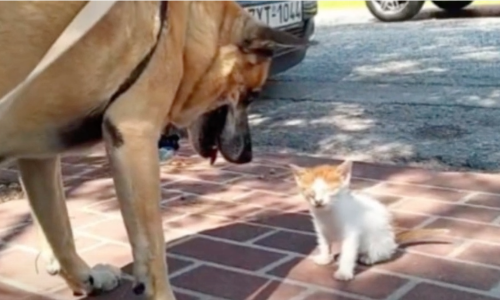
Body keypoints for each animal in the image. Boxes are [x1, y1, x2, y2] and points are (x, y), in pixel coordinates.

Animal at [0, 0, 308, 300]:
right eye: (253, 95)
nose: (248, 156)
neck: (182, 26)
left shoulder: (38, 155)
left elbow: (58, 229)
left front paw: (87, 279)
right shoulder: (135, 136)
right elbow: (152, 247)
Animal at [290, 162, 450, 282]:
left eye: (329, 191)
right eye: (311, 193)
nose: (318, 201)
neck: (329, 213)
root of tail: (394, 236)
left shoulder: (352, 233)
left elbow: (348, 252)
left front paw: (344, 272)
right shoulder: (321, 228)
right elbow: (324, 243)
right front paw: (325, 257)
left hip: (379, 241)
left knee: (385, 252)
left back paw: (369, 257)